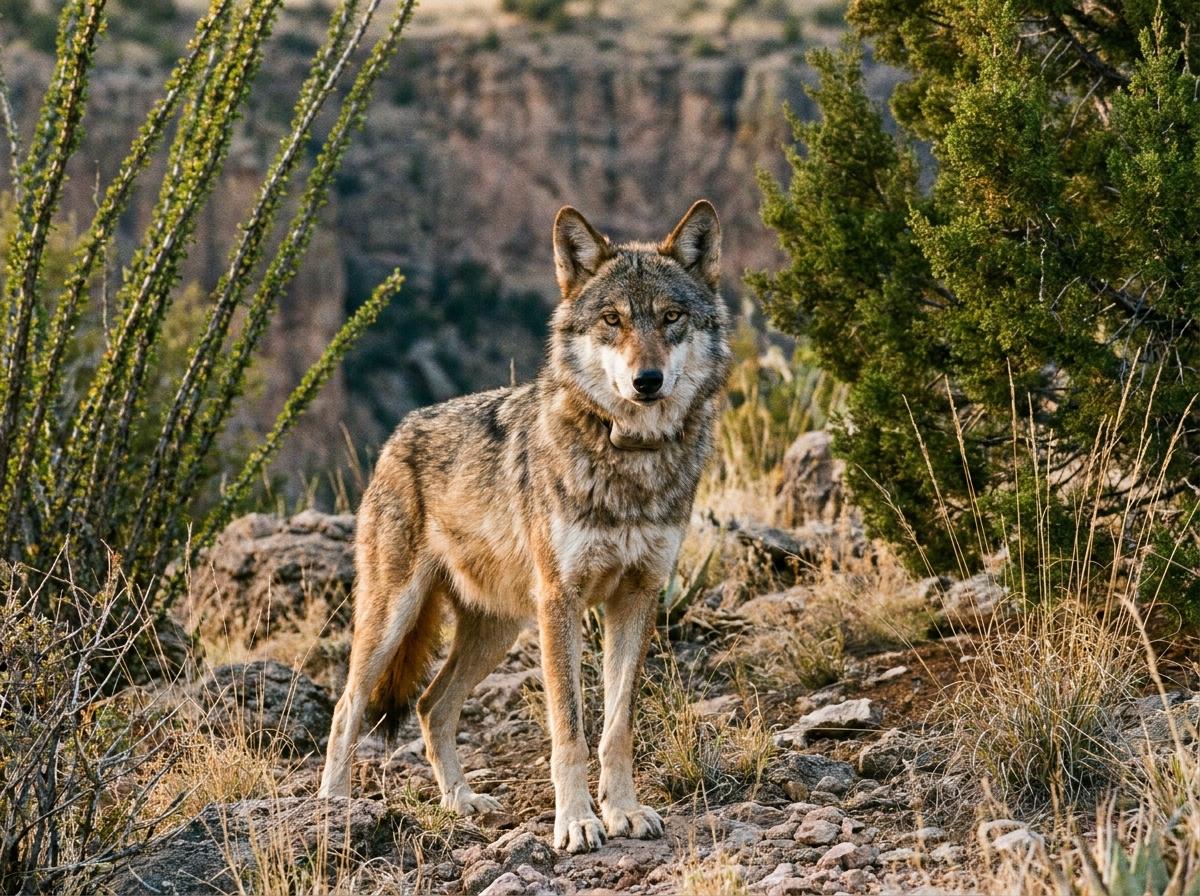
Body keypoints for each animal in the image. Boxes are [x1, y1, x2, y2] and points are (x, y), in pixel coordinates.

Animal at [318, 200, 732, 854]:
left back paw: (461, 802)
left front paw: (624, 811)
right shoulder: (561, 601)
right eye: (612, 320)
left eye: (671, 318)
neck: (630, 460)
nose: (647, 380)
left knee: (432, 706)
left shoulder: (638, 595)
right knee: (348, 706)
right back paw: (334, 808)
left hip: (500, 627)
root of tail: (396, 435)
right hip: (394, 615)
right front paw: (578, 822)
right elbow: (570, 728)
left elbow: (616, 727)